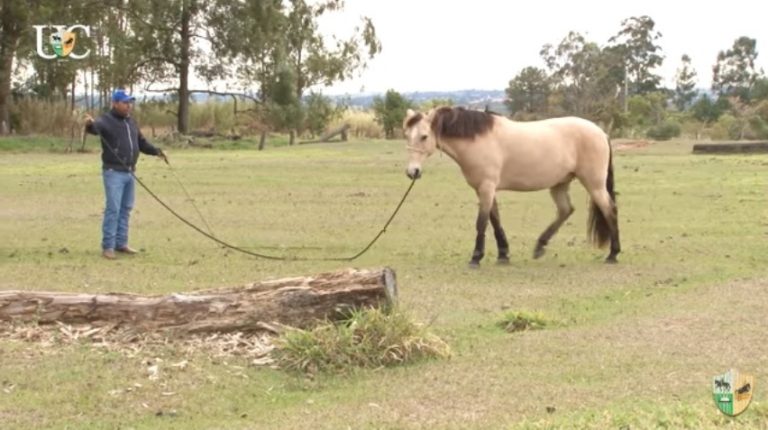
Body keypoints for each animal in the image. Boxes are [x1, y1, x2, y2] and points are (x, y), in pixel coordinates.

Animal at [402, 106, 620, 267]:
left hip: (594, 185)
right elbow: (495, 220)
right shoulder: (485, 190)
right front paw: (503, 255)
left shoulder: (486, 188)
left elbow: (482, 222)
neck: (478, 140)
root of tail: (601, 132)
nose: (412, 172)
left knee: (610, 210)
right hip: (560, 184)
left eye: (424, 136)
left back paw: (613, 254)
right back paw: (539, 247)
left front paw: (476, 257)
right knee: (566, 210)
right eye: (407, 136)